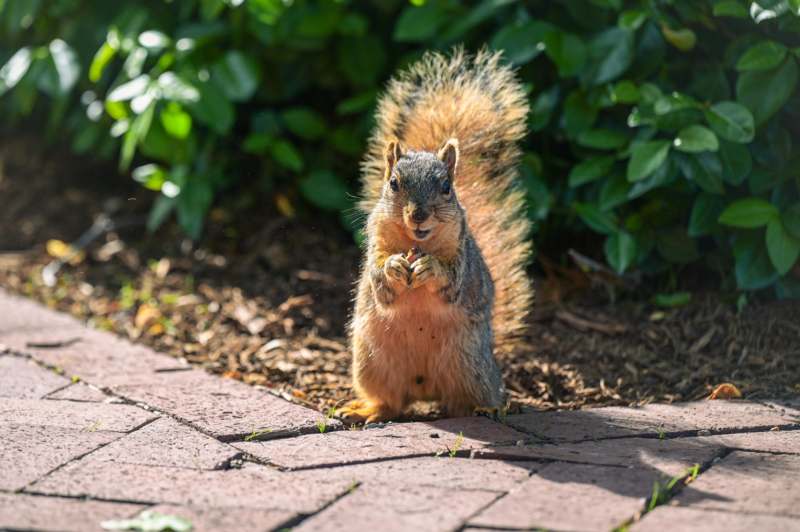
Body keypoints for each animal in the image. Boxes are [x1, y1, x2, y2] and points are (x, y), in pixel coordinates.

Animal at [339, 48, 533, 423]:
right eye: (394, 183)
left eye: (446, 187)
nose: (419, 215)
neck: (418, 243)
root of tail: (424, 389)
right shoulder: (377, 245)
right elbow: (380, 283)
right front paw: (393, 267)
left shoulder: (461, 255)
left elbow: (451, 281)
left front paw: (430, 269)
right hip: (371, 363)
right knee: (391, 401)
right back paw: (367, 409)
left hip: (471, 365)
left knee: (467, 399)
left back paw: (488, 408)